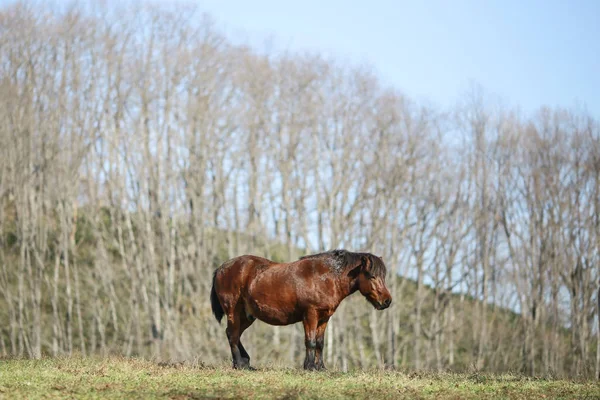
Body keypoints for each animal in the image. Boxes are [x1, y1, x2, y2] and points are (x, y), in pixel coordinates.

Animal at [211, 248, 394, 370]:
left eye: (383, 276)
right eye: (372, 276)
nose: (387, 301)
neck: (324, 278)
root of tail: (221, 268)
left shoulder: (324, 318)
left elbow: (320, 343)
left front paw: (321, 368)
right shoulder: (310, 315)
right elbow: (310, 341)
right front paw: (310, 367)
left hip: (247, 316)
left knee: (234, 334)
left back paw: (245, 362)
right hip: (233, 312)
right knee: (233, 335)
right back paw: (239, 364)